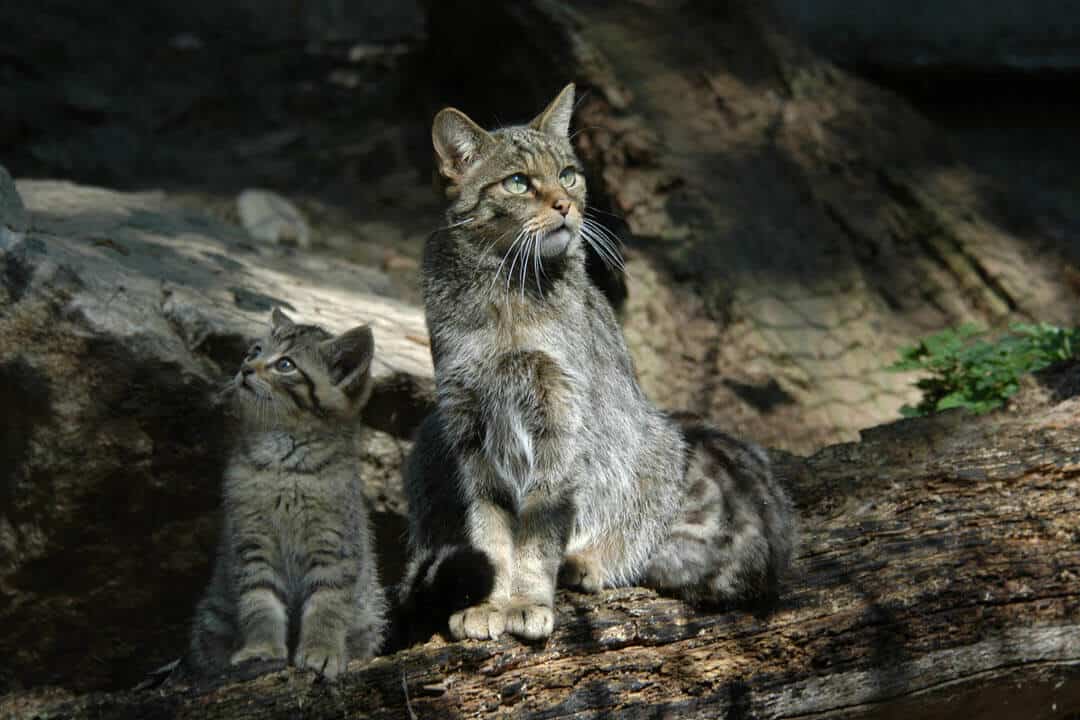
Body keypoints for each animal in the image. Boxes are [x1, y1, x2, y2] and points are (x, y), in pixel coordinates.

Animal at [190, 308, 388, 677]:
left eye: (285, 365)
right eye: (254, 351)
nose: (245, 368)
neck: (283, 461)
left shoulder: (334, 545)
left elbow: (327, 603)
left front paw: (322, 650)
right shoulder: (250, 542)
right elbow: (259, 601)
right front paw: (261, 649)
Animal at [401, 84, 799, 643]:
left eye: (569, 173)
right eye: (518, 182)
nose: (566, 205)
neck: (506, 292)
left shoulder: (560, 421)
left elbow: (538, 531)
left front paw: (526, 600)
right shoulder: (469, 427)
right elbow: (489, 531)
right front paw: (492, 602)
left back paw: (590, 561)